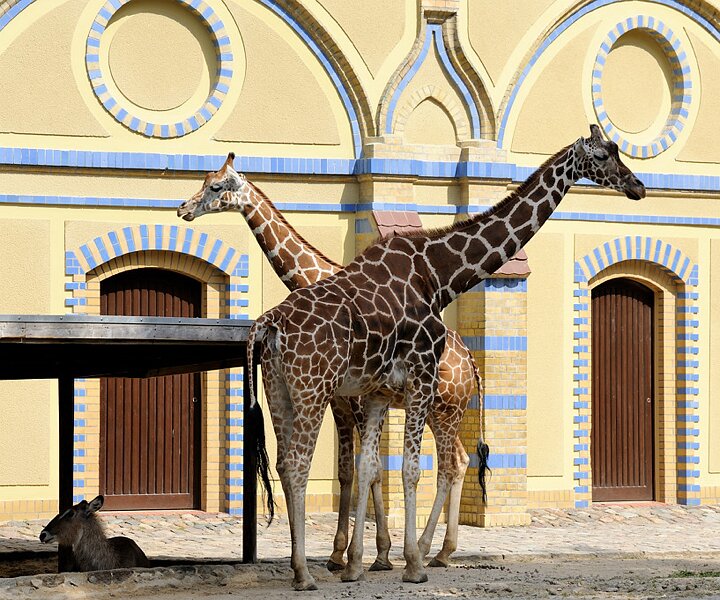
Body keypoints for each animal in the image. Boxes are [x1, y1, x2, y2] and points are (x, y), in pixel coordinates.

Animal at [177, 154, 489, 571]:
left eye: (214, 186)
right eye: (203, 180)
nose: (183, 208)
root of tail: (471, 361)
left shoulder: (355, 400)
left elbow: (368, 472)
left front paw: (378, 554)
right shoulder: (341, 401)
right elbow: (348, 471)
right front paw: (341, 553)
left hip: (444, 407)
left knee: (453, 462)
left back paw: (428, 550)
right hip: (440, 410)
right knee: (460, 458)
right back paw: (441, 551)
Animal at [242, 124, 645, 590]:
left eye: (617, 150)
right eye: (600, 156)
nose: (638, 187)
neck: (437, 275)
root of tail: (268, 323)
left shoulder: (377, 393)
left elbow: (370, 467)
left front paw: (360, 562)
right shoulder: (416, 377)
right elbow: (407, 469)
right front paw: (408, 564)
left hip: (281, 392)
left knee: (294, 464)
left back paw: (316, 563)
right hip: (315, 390)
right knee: (299, 464)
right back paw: (309, 572)